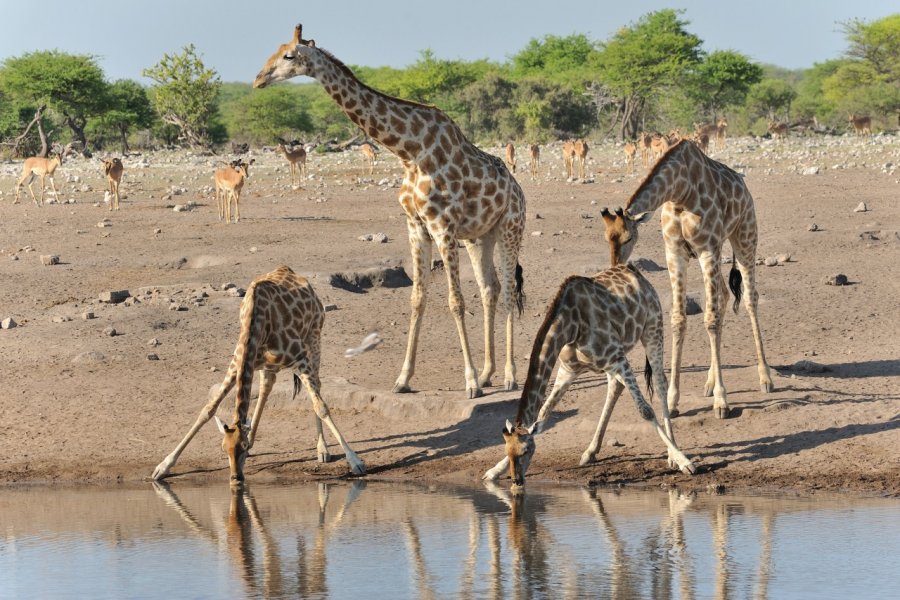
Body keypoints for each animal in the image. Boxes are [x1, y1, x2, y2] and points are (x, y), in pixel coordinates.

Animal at [151, 266, 366, 482]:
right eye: (223, 449)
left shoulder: (300, 358)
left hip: (314, 339)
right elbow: (208, 409)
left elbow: (321, 406)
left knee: (317, 386)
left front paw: (355, 461)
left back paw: (322, 449)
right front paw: (163, 466)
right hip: (267, 365)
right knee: (265, 389)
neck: (256, 321)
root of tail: (290, 271)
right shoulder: (238, 363)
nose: (236, 477)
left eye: (242, 447)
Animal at [255, 24, 528, 398]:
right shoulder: (416, 226)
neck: (409, 151)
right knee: (491, 289)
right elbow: (417, 298)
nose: (258, 79)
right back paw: (490, 373)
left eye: (289, 55)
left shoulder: (442, 226)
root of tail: (519, 190)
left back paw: (510, 376)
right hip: (479, 237)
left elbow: (455, 301)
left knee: (508, 293)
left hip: (510, 229)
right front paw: (403, 379)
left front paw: (470, 382)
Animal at [482, 260, 700, 490]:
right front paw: (494, 471)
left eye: (526, 451)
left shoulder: (618, 358)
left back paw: (672, 453)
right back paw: (590, 452)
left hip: (652, 329)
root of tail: (634, 271)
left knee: (659, 384)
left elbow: (645, 411)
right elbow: (543, 414)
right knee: (615, 386)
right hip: (613, 361)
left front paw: (685, 462)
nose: (516, 481)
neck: (570, 326)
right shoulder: (569, 370)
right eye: (507, 451)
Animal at [604, 139, 772, 422]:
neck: (680, 191)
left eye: (629, 238)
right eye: (607, 237)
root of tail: (743, 185)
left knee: (750, 298)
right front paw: (673, 400)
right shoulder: (674, 252)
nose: (615, 265)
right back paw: (709, 382)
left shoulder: (707, 249)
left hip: (745, 237)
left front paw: (721, 401)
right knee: (723, 296)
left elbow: (710, 320)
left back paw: (765, 377)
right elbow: (679, 319)